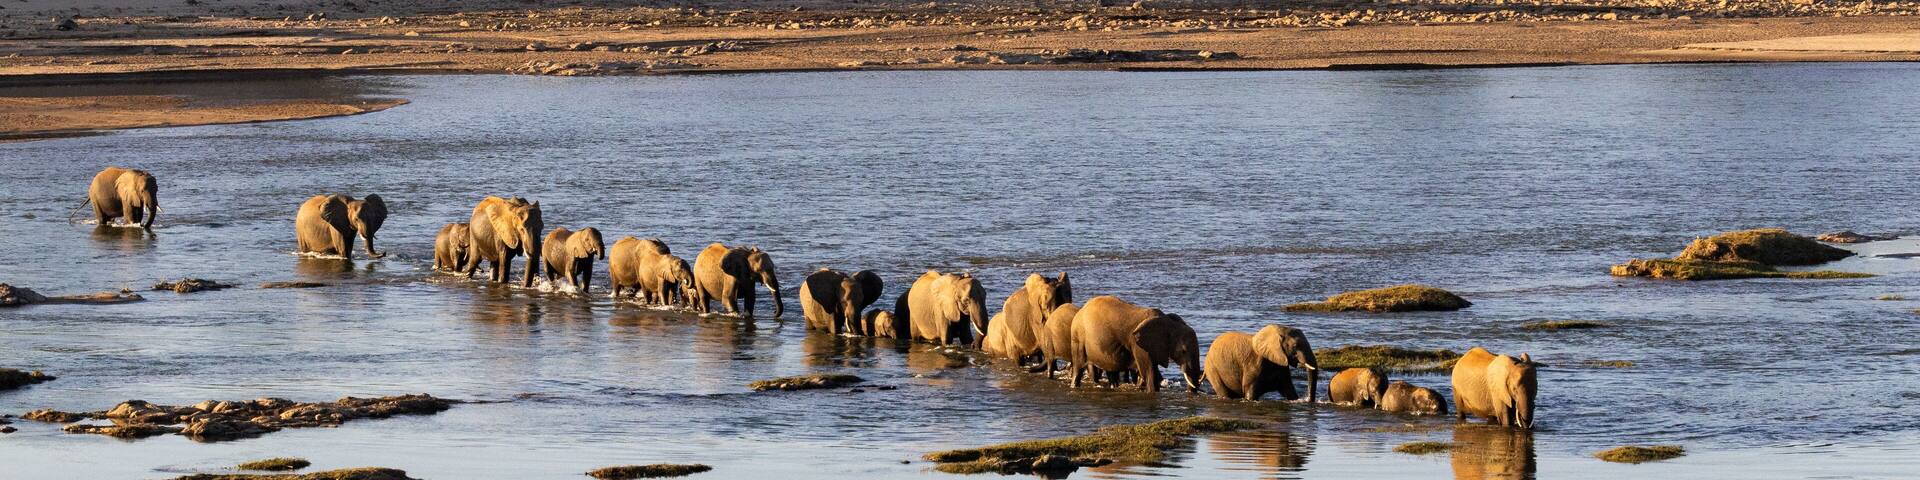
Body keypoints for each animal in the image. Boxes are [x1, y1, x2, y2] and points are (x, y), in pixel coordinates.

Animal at [1069, 295, 1201, 392]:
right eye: (1183, 351)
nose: (1190, 392)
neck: (1168, 322)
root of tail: (1081, 310)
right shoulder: (1138, 345)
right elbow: (1149, 374)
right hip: (1078, 339)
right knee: (1078, 367)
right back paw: (1074, 386)